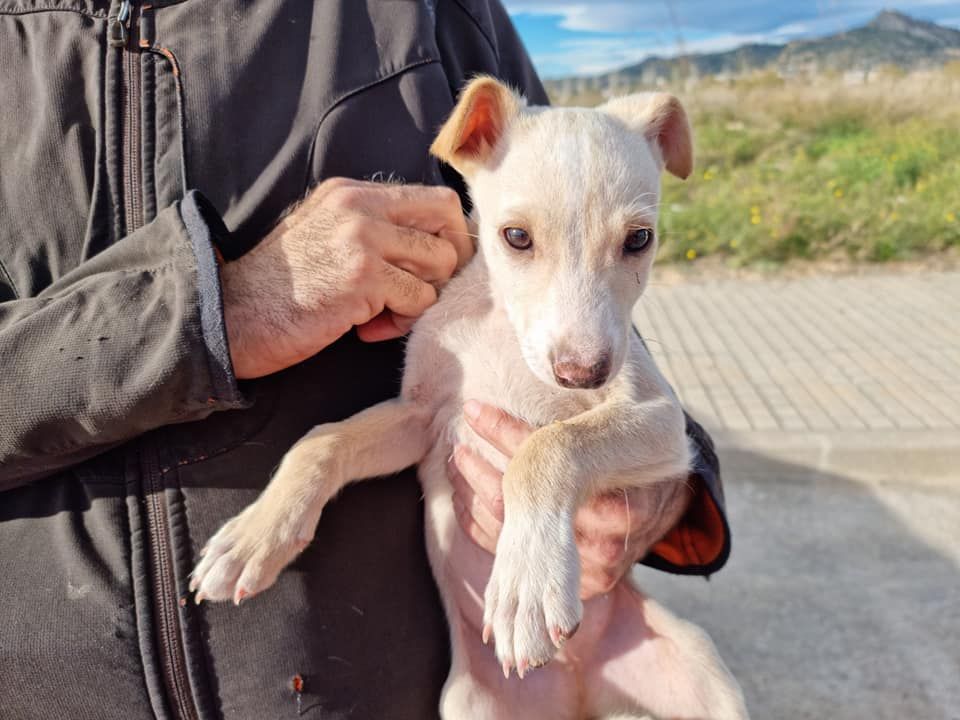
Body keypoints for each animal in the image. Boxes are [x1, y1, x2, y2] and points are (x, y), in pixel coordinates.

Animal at [191, 77, 748, 720]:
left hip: (701, 665)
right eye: (516, 237)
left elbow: (547, 446)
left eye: (639, 240)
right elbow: (321, 441)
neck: (500, 331)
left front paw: (526, 587)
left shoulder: (660, 419)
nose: (584, 375)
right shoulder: (422, 417)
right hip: (468, 702)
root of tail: (579, 689)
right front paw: (254, 537)